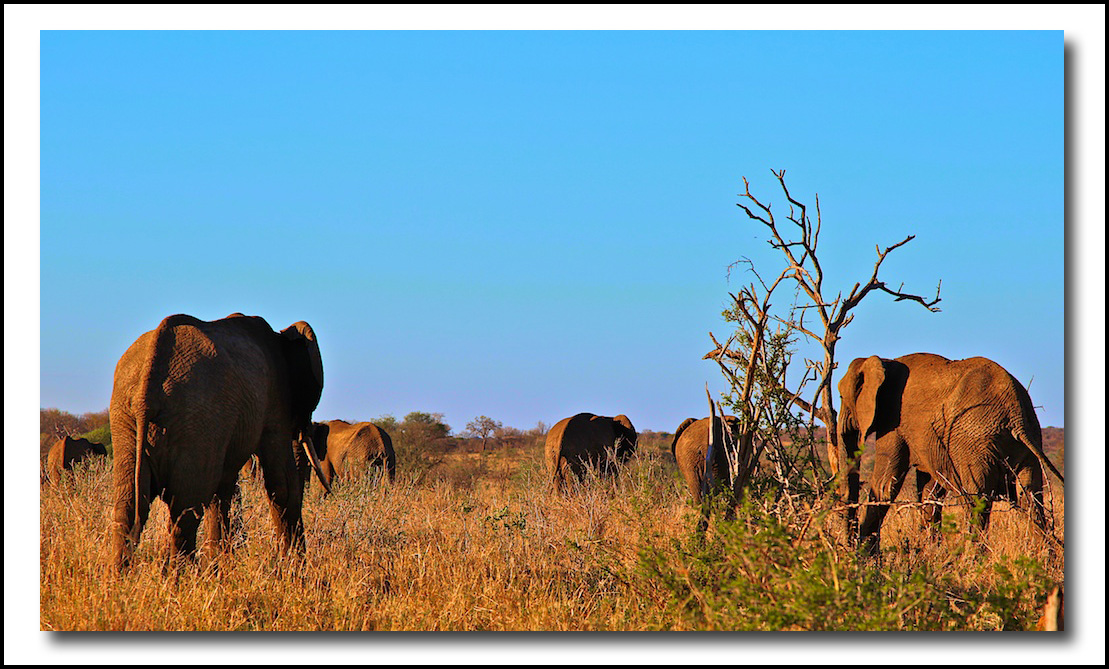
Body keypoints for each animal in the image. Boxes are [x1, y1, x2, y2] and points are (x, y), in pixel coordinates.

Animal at [108, 315, 328, 572]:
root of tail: (146, 394)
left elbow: (223, 490)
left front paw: (220, 567)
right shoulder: (275, 402)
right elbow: (282, 484)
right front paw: (295, 570)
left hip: (127, 419)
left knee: (129, 508)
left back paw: (120, 576)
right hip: (197, 418)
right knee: (186, 509)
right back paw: (181, 578)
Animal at [838, 350, 1064, 554]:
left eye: (840, 396)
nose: (848, 542)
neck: (884, 361)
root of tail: (1016, 415)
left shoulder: (892, 421)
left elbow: (885, 484)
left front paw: (864, 554)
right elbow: (930, 490)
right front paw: (931, 554)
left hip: (973, 443)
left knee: (976, 500)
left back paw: (972, 561)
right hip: (1028, 440)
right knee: (1032, 497)